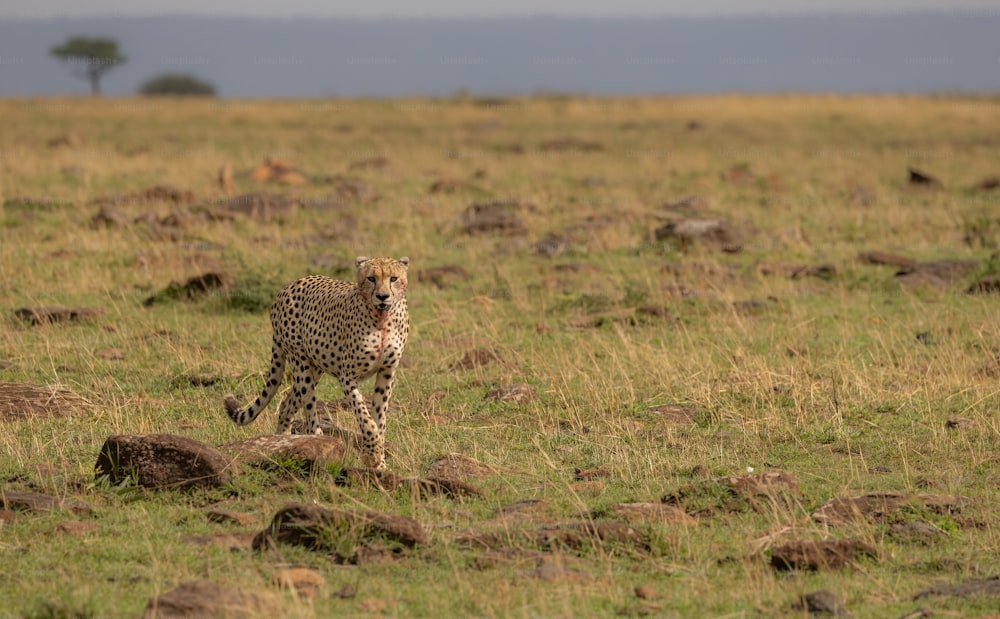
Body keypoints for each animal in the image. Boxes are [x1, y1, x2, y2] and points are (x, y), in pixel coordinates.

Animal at [226, 256, 410, 470]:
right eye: (371, 278)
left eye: (393, 278)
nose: (382, 296)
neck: (382, 320)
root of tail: (289, 286)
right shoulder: (347, 376)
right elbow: (365, 417)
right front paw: (372, 454)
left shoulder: (386, 372)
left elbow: (379, 418)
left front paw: (378, 462)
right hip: (301, 364)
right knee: (308, 405)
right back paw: (317, 440)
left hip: (315, 368)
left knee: (287, 403)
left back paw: (282, 440)